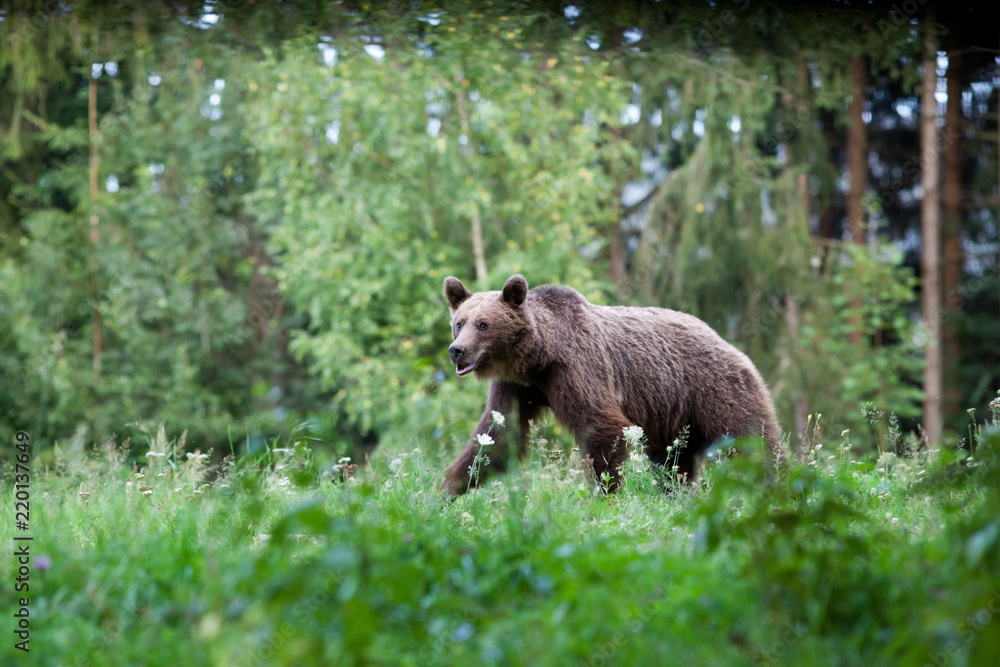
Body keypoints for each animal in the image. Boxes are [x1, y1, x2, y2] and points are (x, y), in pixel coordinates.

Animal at [441, 274, 781, 495]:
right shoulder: (517, 385)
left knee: (753, 440)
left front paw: (605, 494)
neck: (539, 357)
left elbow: (602, 428)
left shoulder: (576, 369)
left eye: (483, 324)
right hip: (674, 416)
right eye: (459, 322)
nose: (457, 350)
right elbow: (498, 435)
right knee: (672, 462)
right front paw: (447, 490)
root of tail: (728, 343)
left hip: (715, 390)